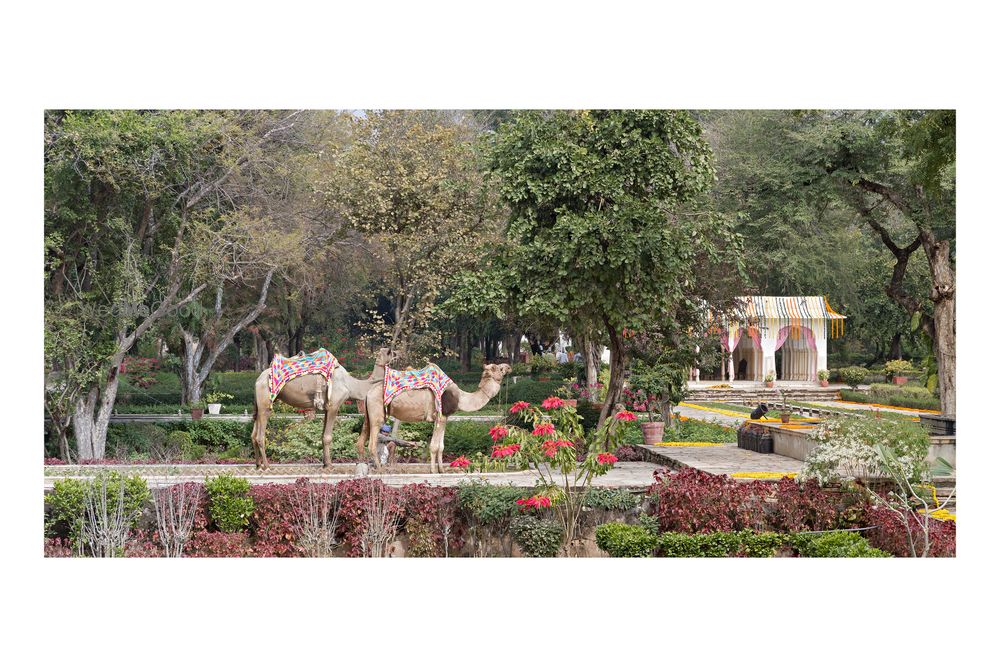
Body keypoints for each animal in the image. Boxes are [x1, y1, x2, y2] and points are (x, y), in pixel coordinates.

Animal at [250, 350, 394, 470]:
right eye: (390, 352)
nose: (396, 354)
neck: (351, 385)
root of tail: (257, 380)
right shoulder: (334, 405)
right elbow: (328, 437)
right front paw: (329, 465)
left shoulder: (326, 408)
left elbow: (322, 435)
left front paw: (325, 464)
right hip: (265, 401)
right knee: (260, 435)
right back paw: (267, 466)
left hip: (259, 403)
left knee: (253, 434)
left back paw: (258, 465)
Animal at [360, 362, 512, 472]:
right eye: (498, 368)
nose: (509, 367)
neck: (460, 398)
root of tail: (368, 394)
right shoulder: (441, 416)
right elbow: (434, 446)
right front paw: (433, 471)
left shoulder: (443, 418)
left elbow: (441, 446)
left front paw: (441, 470)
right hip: (377, 415)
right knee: (372, 443)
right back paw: (380, 469)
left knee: (362, 442)